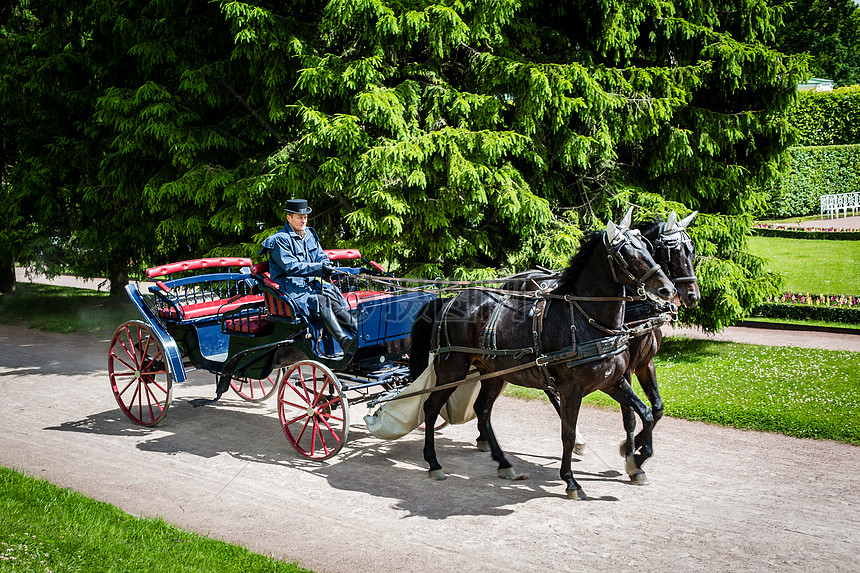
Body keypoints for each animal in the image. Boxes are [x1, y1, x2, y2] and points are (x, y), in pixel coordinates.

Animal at [406, 213, 676, 496]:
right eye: (627, 253)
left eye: (647, 246)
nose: (668, 290)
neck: (585, 319)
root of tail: (449, 300)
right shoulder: (572, 389)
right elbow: (568, 434)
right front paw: (571, 480)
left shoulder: (614, 381)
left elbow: (646, 412)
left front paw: (636, 459)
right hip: (452, 370)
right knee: (431, 407)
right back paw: (433, 462)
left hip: (493, 373)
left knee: (482, 410)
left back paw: (503, 462)